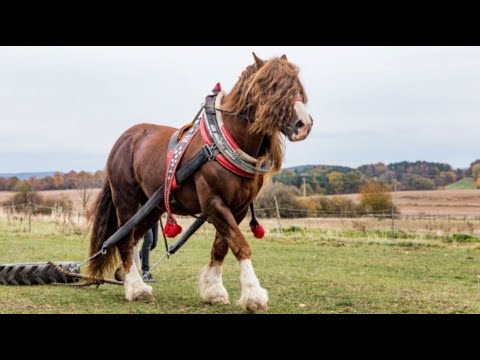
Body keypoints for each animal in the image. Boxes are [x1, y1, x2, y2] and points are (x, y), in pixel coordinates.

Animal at [87, 53, 314, 312]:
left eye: (297, 86)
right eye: (271, 87)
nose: (303, 124)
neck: (222, 143)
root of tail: (124, 138)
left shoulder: (237, 208)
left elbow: (222, 246)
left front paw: (214, 291)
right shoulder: (214, 203)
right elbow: (240, 244)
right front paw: (254, 294)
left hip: (153, 205)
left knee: (135, 236)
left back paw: (128, 278)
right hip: (126, 198)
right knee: (124, 238)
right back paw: (136, 287)